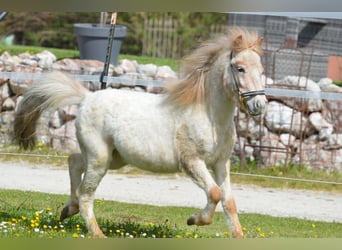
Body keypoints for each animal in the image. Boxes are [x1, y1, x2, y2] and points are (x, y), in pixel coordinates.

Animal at [14, 26, 268, 237]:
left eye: (261, 70)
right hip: (100, 159)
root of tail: (87, 97)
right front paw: (193, 220)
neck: (210, 116)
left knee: (74, 161)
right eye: (240, 68)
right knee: (86, 193)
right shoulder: (192, 162)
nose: (260, 105)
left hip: (114, 158)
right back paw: (97, 233)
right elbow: (214, 193)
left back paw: (68, 209)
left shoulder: (220, 163)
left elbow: (229, 202)